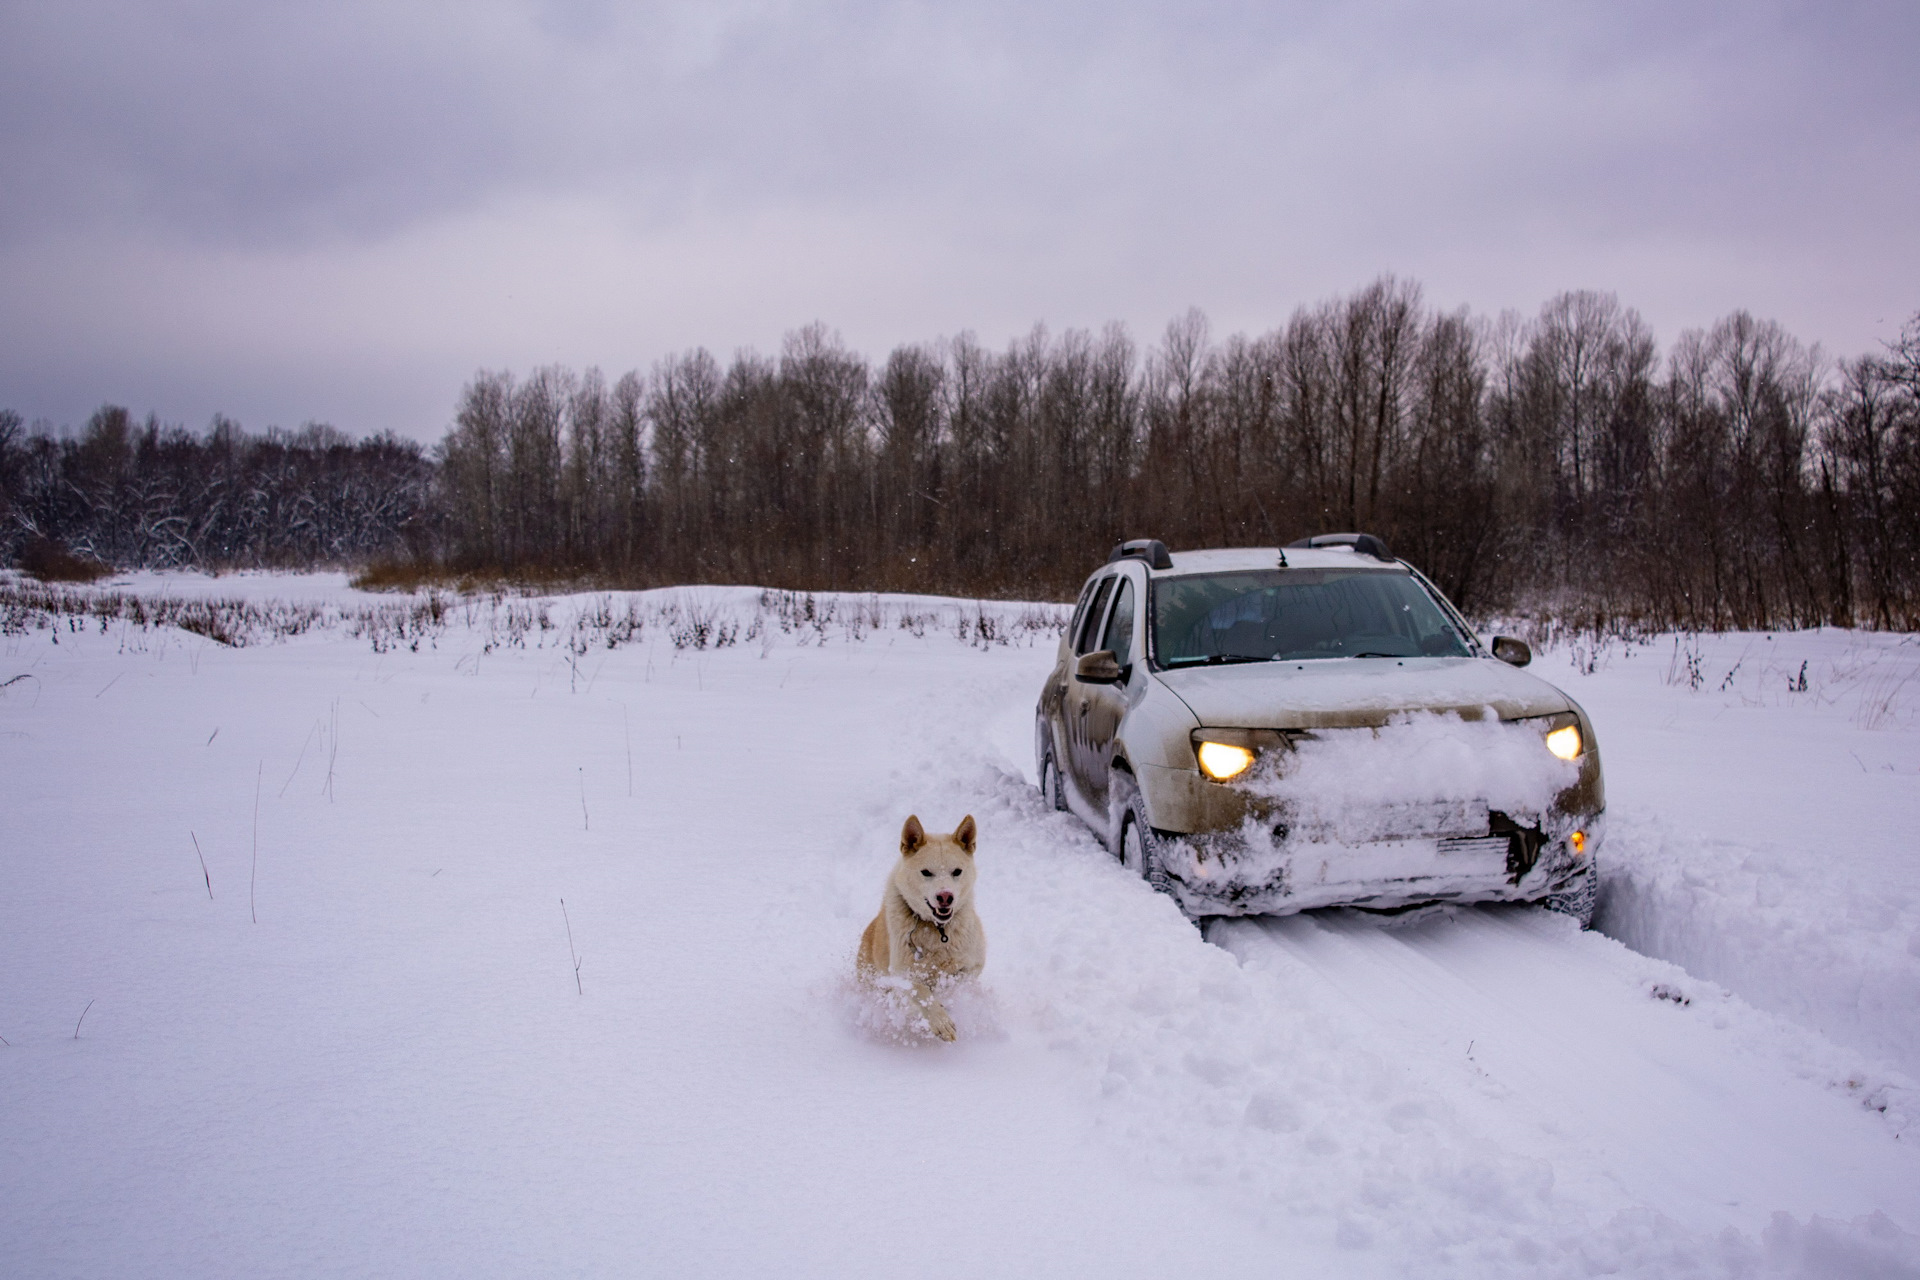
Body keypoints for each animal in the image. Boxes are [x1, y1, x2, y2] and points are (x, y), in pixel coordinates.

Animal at [867, 817, 990, 1043]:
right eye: (926, 872)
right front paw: (941, 1021)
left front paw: (945, 995)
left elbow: (956, 982)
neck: (937, 930)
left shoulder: (974, 964)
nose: (945, 896)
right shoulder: (901, 973)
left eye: (957, 871)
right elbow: (921, 992)